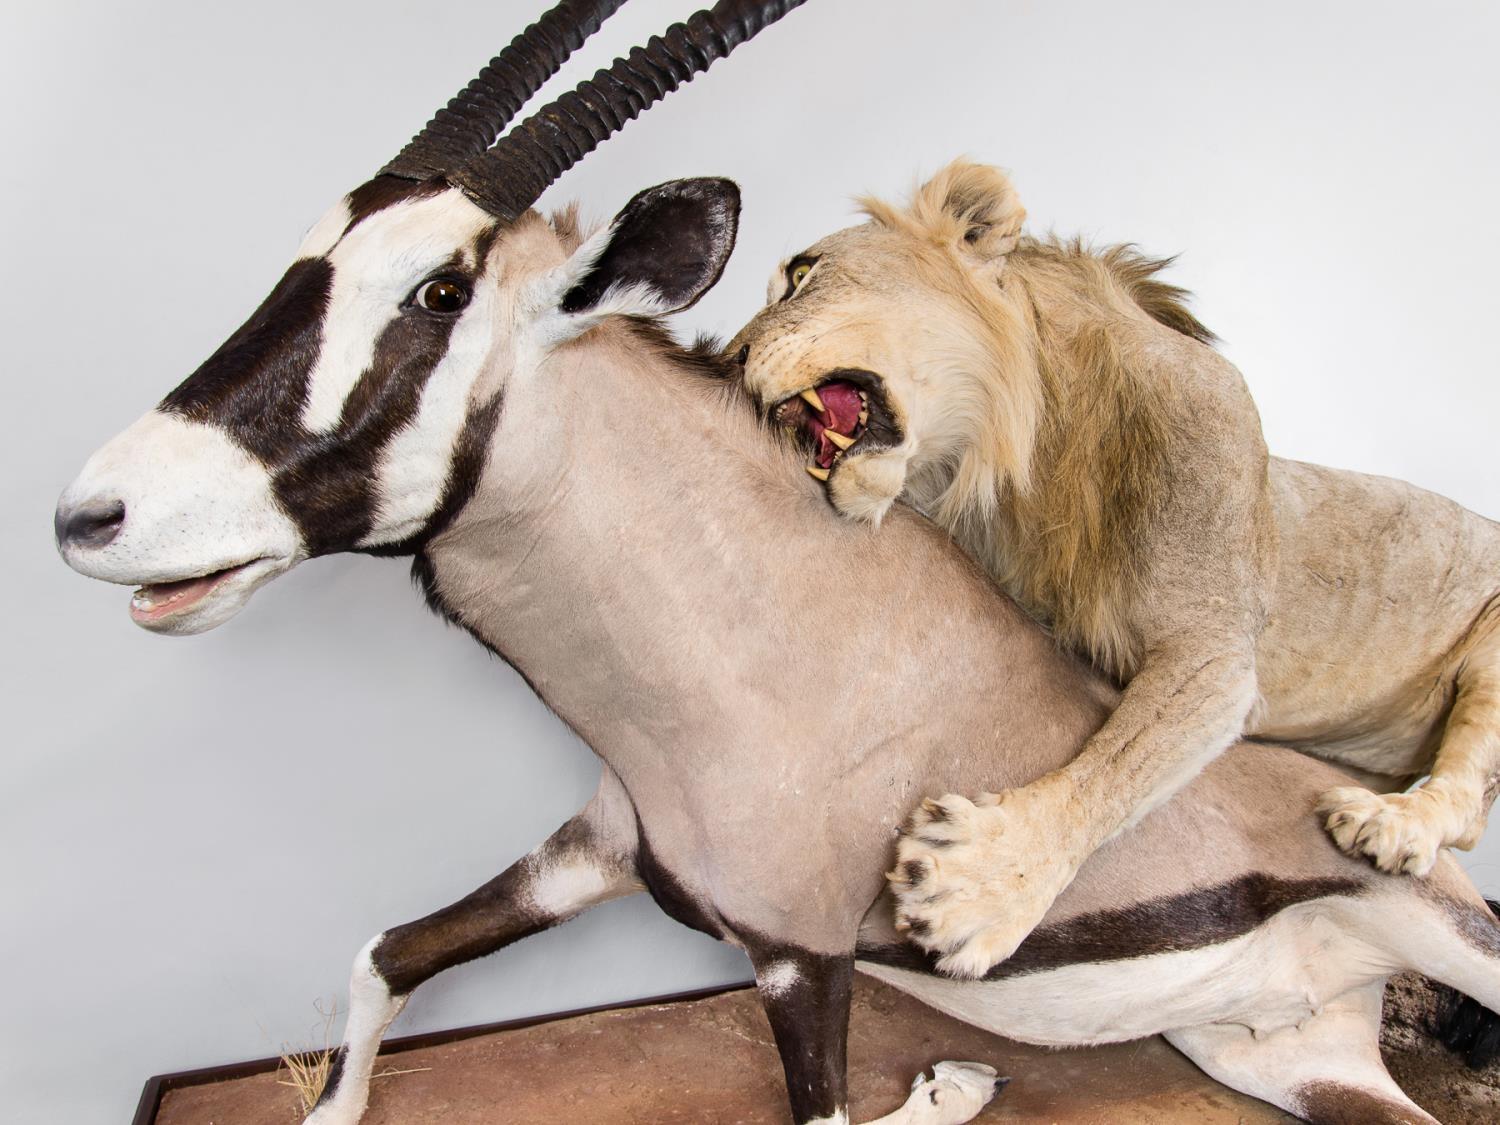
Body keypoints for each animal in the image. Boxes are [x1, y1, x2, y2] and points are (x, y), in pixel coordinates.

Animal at [732, 159, 1500, 978]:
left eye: (802, 273)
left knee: (1466, 800)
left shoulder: (1213, 653)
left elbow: (1120, 765)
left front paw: (980, 885)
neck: (1018, 460)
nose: (728, 360)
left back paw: (1392, 825)